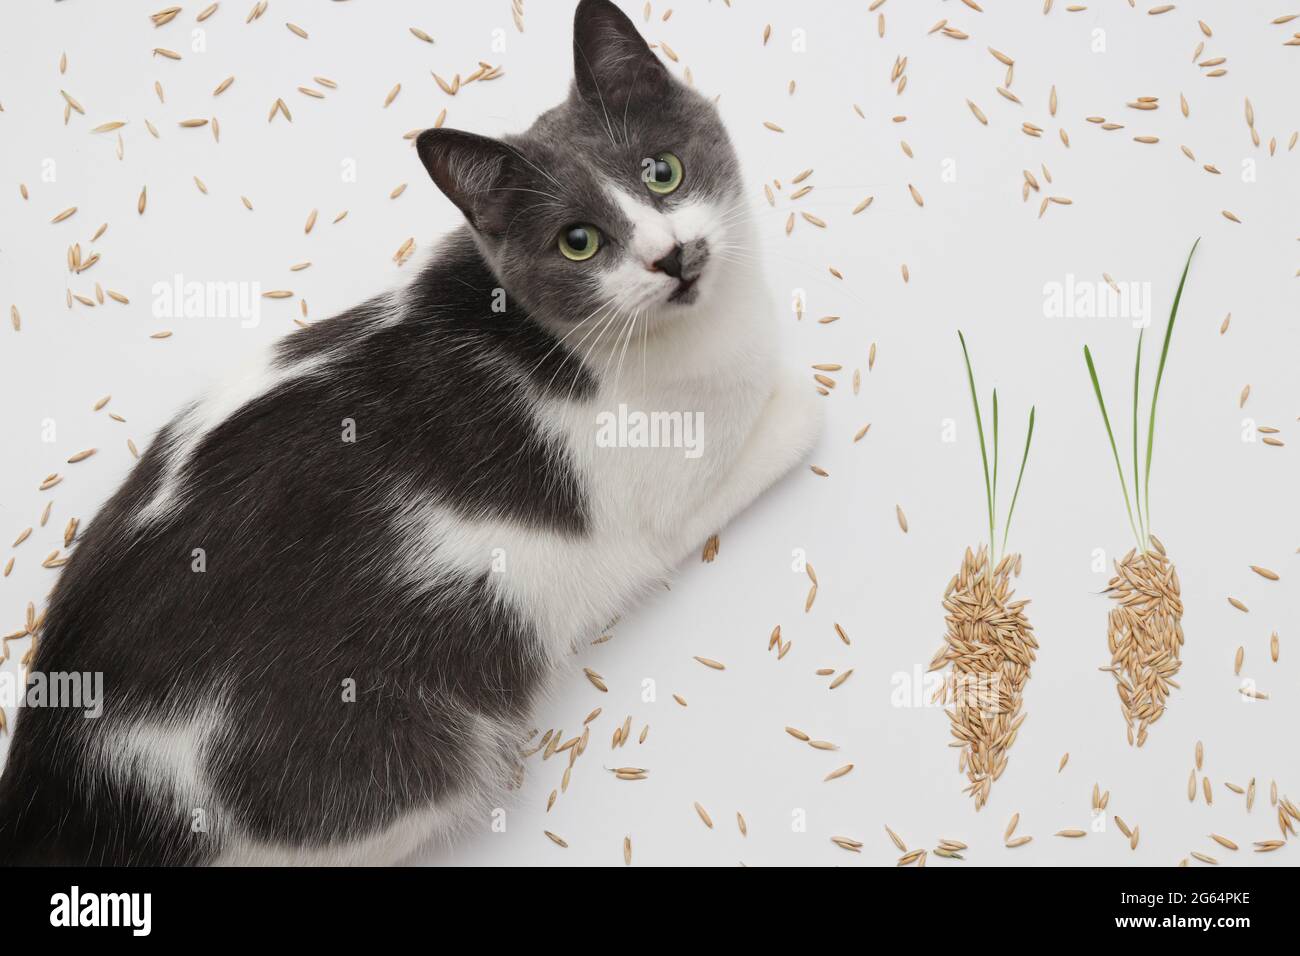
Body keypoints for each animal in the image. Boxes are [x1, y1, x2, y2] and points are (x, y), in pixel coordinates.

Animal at [0, 0, 816, 868]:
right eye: (579, 242)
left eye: (663, 171)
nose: (673, 256)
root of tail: (69, 779)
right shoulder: (656, 508)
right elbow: (789, 416)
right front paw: (798, 395)